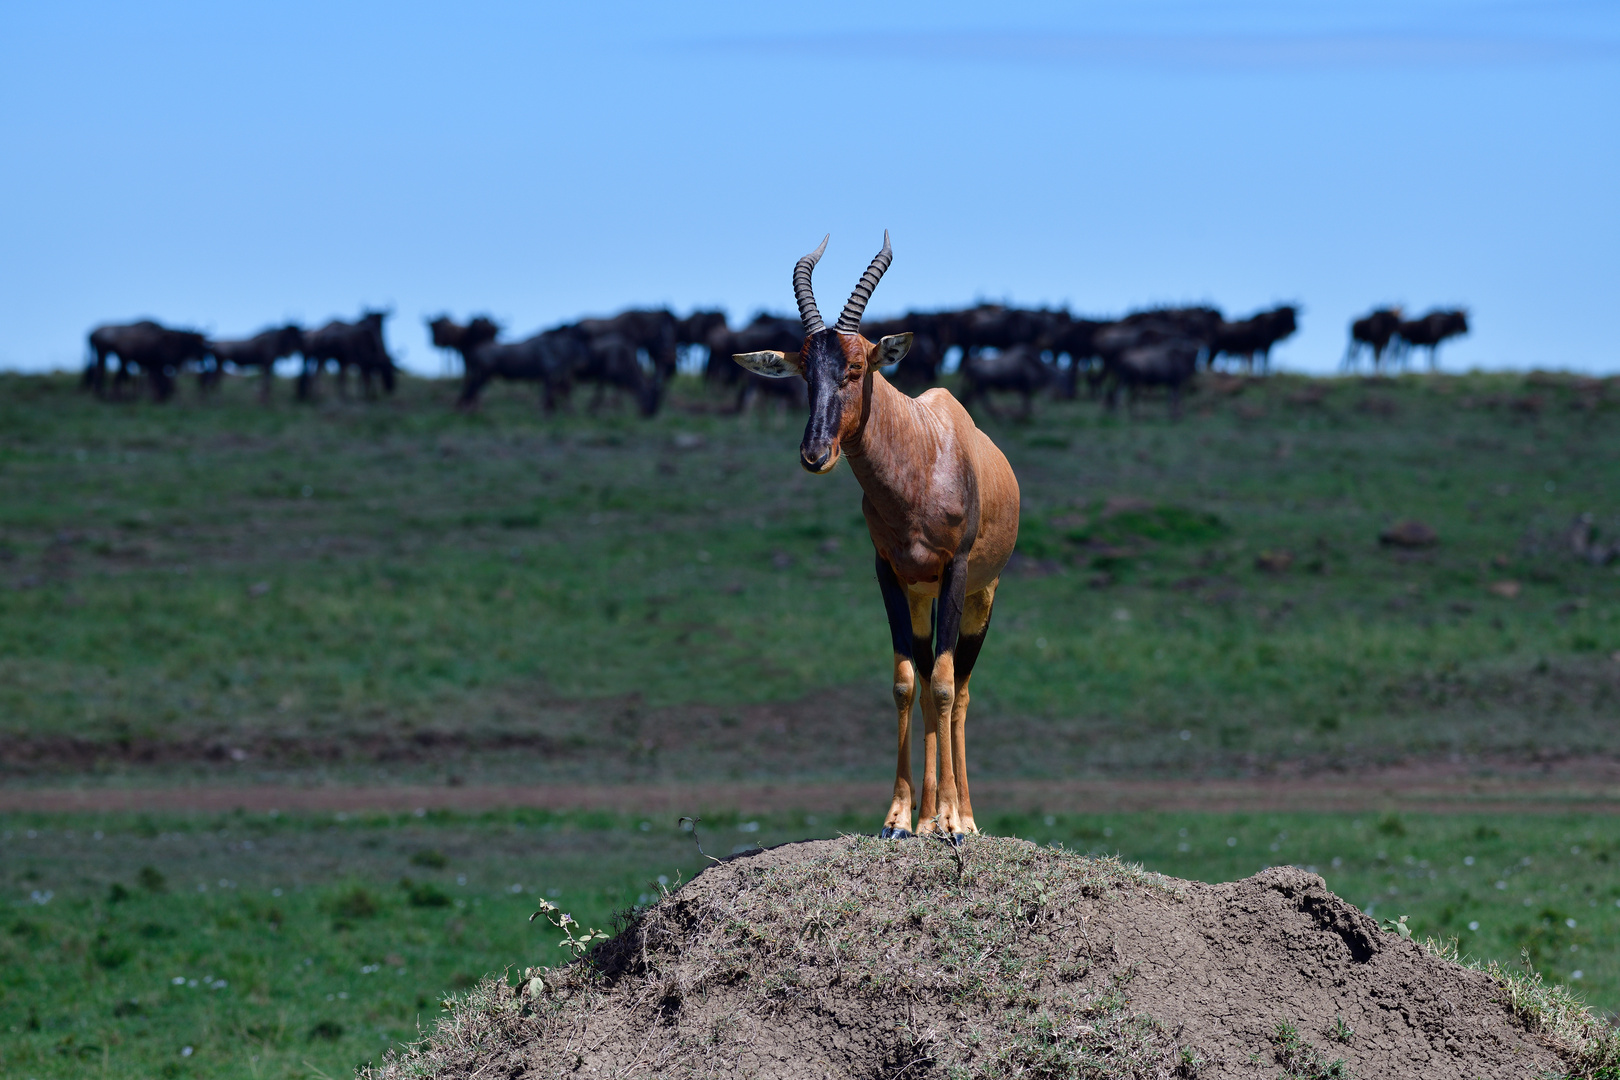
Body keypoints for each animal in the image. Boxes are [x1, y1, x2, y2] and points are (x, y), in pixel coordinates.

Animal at [738, 236, 1017, 841]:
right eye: (804, 369)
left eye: (857, 366)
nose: (814, 453)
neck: (923, 452)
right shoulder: (887, 572)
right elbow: (906, 682)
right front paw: (898, 819)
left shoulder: (957, 571)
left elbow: (944, 685)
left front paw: (951, 821)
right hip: (919, 596)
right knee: (928, 676)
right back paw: (929, 815)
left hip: (981, 595)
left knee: (959, 688)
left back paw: (961, 816)